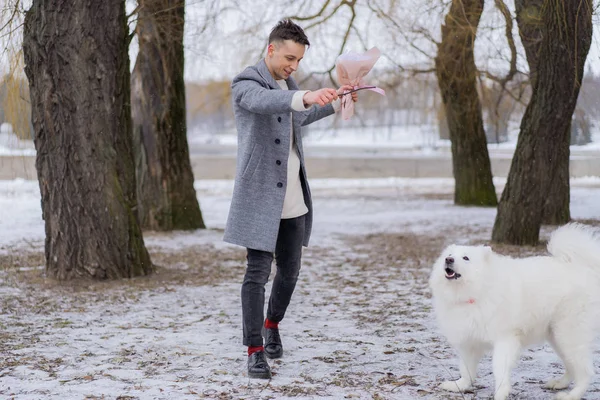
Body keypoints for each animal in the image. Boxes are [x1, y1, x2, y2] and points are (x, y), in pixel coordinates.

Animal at [428, 223, 600, 398]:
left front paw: (500, 394)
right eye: (449, 255)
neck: (476, 292)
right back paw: (559, 383)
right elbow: (466, 369)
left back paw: (572, 395)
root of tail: (583, 268)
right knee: (571, 366)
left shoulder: (504, 340)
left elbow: (499, 370)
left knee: (585, 372)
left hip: (569, 335)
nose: (448, 260)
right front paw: (459, 385)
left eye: (465, 258)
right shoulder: (468, 342)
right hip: (557, 337)